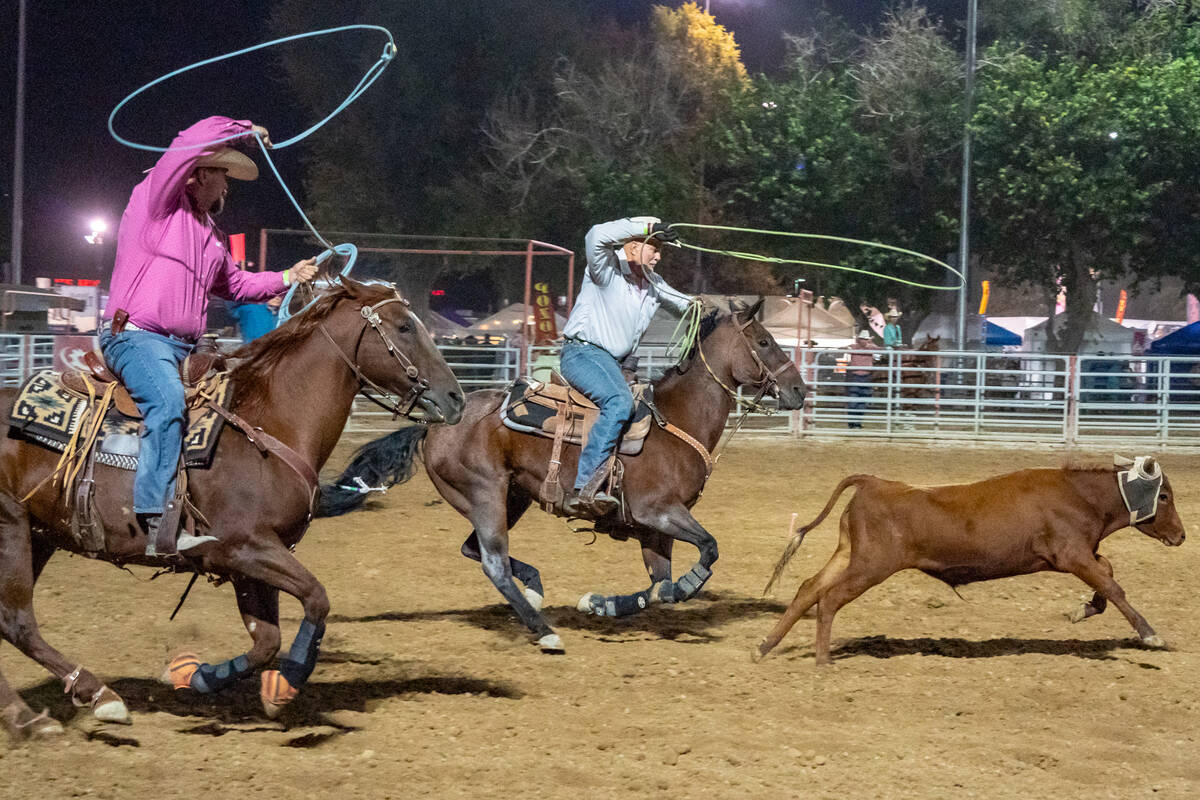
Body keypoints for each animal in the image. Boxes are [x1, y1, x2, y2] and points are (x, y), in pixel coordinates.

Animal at [0, 278, 463, 743]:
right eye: (404, 327)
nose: (456, 398)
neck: (269, 425)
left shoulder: (256, 561)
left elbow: (266, 641)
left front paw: (194, 675)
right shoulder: (241, 548)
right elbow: (316, 599)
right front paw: (285, 685)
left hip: (39, 534)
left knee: (9, 623)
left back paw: (51, 709)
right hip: (12, 529)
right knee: (17, 620)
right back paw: (72, 707)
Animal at [326, 297, 806, 652]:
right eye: (764, 341)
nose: (800, 390)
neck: (675, 421)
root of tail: (435, 424)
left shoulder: (655, 529)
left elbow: (659, 587)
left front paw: (601, 604)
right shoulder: (658, 512)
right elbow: (707, 551)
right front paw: (684, 586)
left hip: (513, 495)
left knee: (473, 550)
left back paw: (535, 591)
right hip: (484, 493)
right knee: (492, 561)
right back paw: (543, 630)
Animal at [753, 460, 1185, 666]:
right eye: (1164, 497)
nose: (1181, 536)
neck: (1081, 495)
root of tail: (874, 483)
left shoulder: (1082, 554)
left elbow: (1106, 574)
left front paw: (1081, 610)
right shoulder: (1072, 555)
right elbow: (1113, 584)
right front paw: (1151, 635)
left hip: (849, 553)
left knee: (809, 588)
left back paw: (764, 646)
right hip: (871, 565)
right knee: (829, 598)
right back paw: (823, 659)